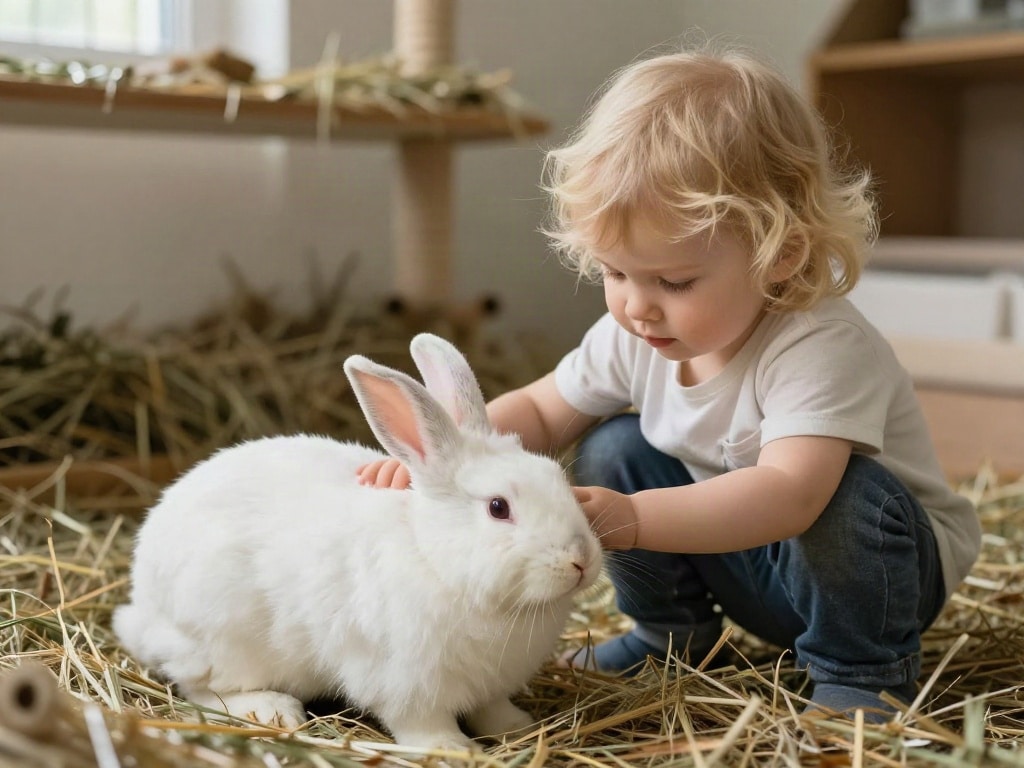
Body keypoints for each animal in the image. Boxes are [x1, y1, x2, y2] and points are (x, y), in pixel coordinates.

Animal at [113, 332, 603, 751]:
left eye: (558, 478)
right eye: (498, 508)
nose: (580, 561)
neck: (436, 562)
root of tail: (141, 606)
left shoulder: (489, 685)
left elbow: (492, 710)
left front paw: (518, 727)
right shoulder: (403, 681)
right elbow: (422, 723)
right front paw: (453, 749)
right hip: (223, 639)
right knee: (200, 689)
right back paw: (273, 709)